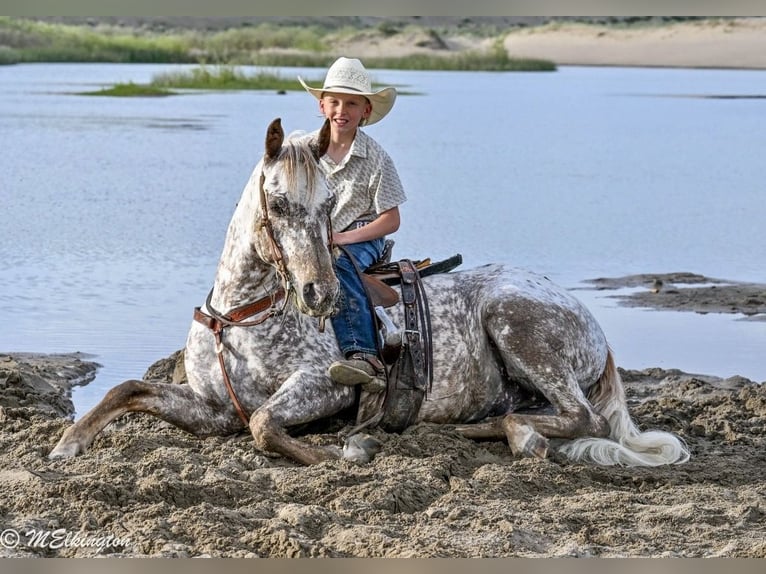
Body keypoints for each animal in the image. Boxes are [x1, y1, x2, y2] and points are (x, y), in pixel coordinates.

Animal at [50, 118, 690, 468]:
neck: (243, 318)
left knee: (583, 418)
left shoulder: (320, 389)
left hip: (515, 322)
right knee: (543, 416)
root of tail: (591, 323)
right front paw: (68, 445)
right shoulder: (213, 411)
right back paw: (480, 429)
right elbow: (128, 389)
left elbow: (266, 426)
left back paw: (508, 435)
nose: (319, 293)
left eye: (329, 205)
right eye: (277, 201)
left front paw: (346, 451)